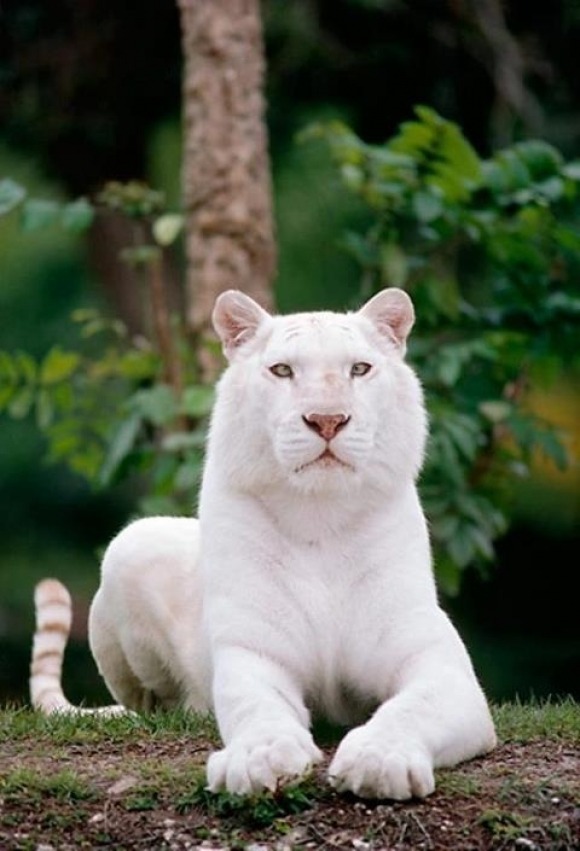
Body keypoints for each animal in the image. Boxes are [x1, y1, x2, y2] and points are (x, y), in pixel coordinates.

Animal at [29, 290, 496, 804]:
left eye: (359, 369)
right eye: (282, 370)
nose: (327, 420)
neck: (319, 516)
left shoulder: (439, 665)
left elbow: (414, 708)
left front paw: (380, 760)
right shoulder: (254, 654)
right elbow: (258, 711)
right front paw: (259, 760)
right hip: (131, 545)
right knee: (154, 706)